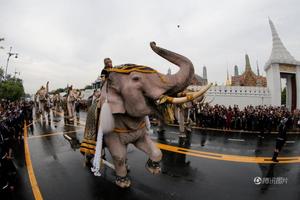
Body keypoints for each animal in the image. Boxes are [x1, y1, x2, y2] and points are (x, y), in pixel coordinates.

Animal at [82, 41, 211, 188]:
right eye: (136, 78)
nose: (153, 42)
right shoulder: (111, 130)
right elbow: (118, 154)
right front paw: (123, 182)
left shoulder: (140, 131)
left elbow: (151, 147)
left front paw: (153, 168)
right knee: (94, 149)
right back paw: (90, 162)